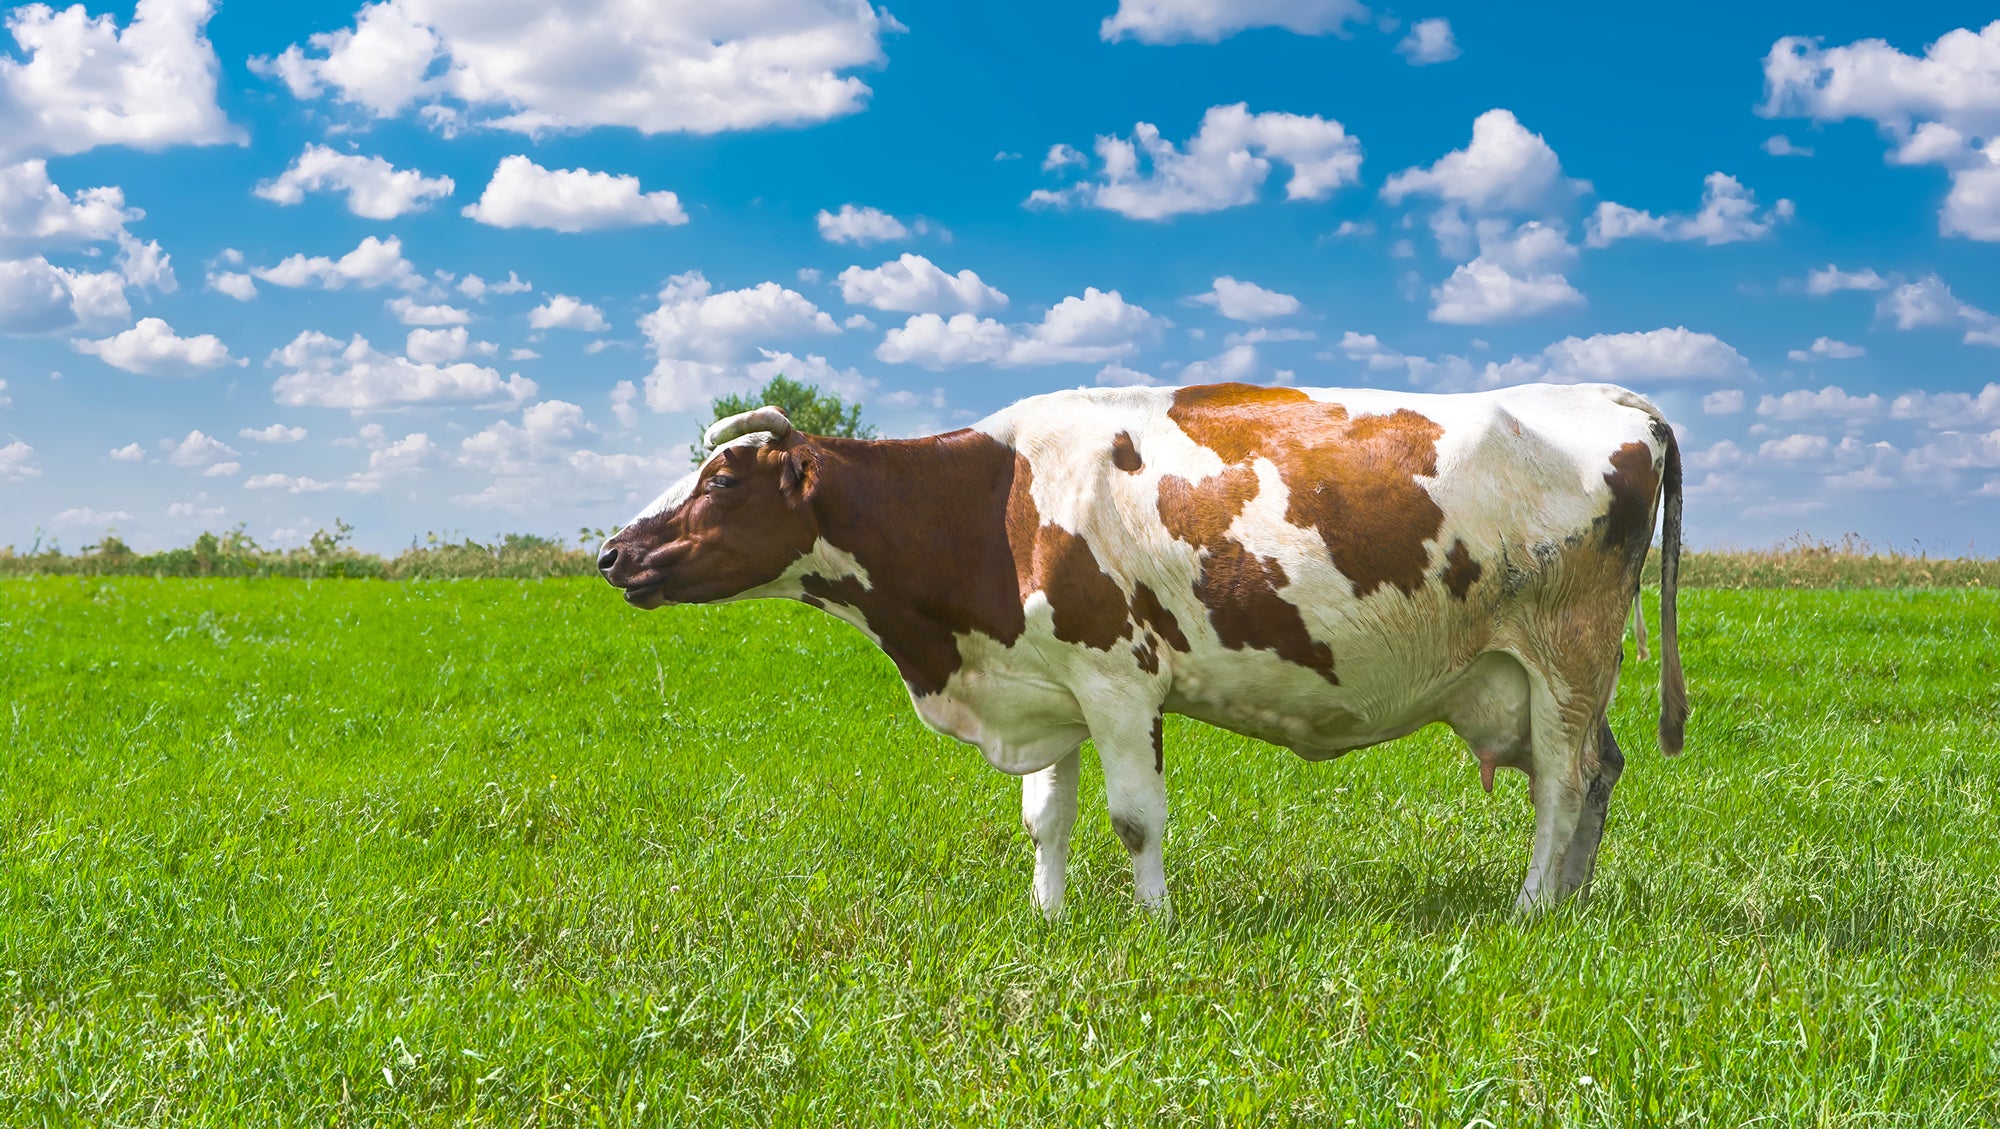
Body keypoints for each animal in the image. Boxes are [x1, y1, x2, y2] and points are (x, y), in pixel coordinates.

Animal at [598, 381, 1686, 918]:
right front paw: (1047, 918)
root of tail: (1613, 398)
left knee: (1563, 783)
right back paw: (1572, 901)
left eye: (720, 482)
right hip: (1540, 675)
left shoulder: (1118, 680)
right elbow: (1046, 817)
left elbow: (1131, 818)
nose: (613, 553)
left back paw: (1532, 908)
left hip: (1567, 652)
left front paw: (1151, 923)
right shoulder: (1053, 683)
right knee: (1598, 774)